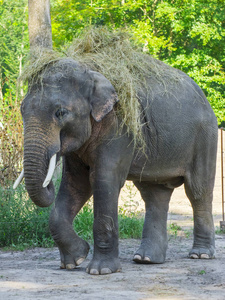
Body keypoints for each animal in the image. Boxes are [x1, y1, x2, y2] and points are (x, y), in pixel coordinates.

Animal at [14, 55, 218, 276]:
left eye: (60, 113)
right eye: (22, 110)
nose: (48, 183)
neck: (92, 71)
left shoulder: (119, 127)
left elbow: (103, 180)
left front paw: (101, 271)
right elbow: (76, 183)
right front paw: (75, 259)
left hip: (206, 137)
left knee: (198, 191)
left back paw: (200, 255)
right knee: (154, 193)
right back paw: (145, 259)